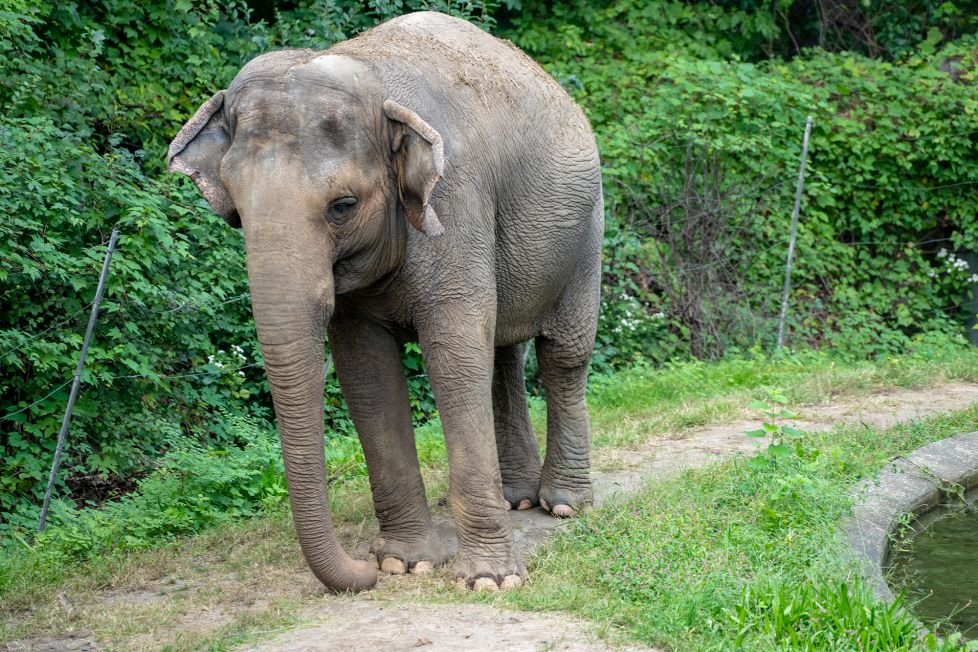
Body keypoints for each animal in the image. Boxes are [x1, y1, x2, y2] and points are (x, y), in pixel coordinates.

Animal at [167, 11, 603, 593]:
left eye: (343, 206)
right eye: (235, 209)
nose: (364, 568)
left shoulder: (456, 203)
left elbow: (453, 360)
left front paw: (489, 580)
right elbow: (368, 374)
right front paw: (406, 563)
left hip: (587, 228)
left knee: (563, 355)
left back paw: (564, 505)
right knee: (503, 355)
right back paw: (517, 500)